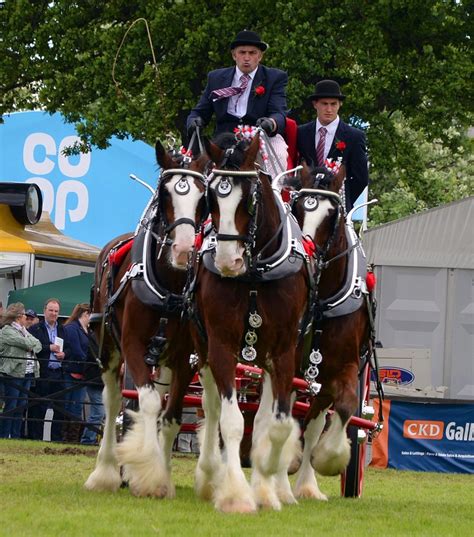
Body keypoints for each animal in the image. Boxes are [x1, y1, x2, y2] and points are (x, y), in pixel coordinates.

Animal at [84, 140, 209, 496]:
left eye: (202, 196)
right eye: (165, 194)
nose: (183, 250)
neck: (169, 286)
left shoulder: (185, 357)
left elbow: (171, 416)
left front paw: (159, 476)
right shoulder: (133, 346)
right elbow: (147, 403)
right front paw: (147, 475)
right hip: (108, 348)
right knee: (114, 402)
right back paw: (106, 472)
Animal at [189, 132, 312, 512]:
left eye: (250, 198)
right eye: (211, 198)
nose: (228, 261)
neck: (255, 275)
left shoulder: (284, 351)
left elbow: (278, 425)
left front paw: (267, 479)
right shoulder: (221, 346)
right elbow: (230, 422)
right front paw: (236, 494)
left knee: (265, 416)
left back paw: (276, 485)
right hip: (204, 349)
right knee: (212, 408)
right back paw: (210, 474)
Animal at [288, 162, 374, 498]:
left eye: (332, 213)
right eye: (298, 207)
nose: (308, 252)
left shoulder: (343, 367)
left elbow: (345, 407)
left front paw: (326, 461)